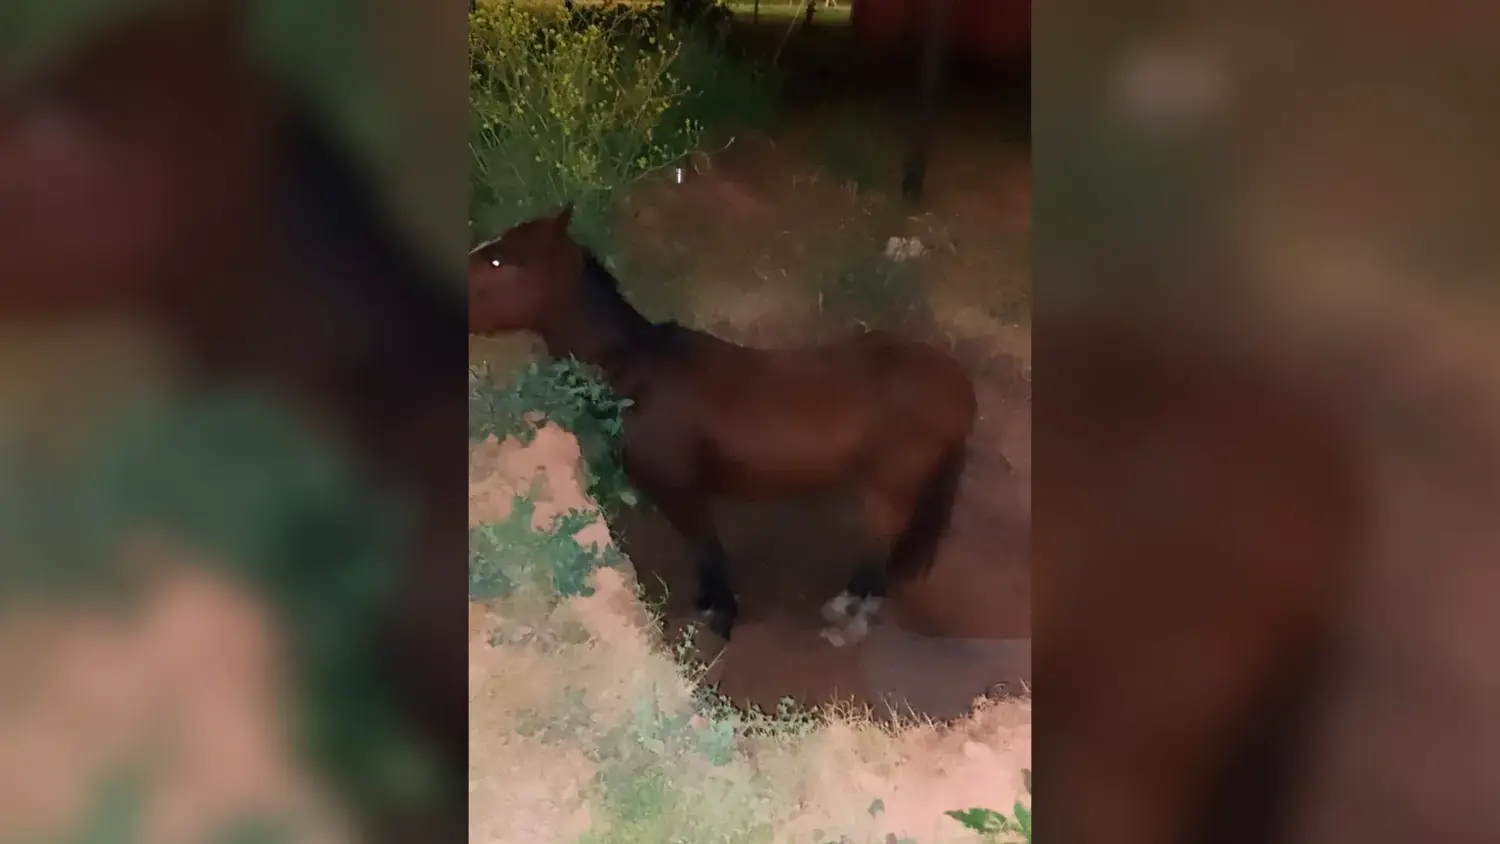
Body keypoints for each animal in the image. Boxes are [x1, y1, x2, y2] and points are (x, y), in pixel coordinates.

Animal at [468, 205, 978, 642]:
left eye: (498, 260)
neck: (635, 367)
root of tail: (957, 382)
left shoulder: (681, 492)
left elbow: (708, 550)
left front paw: (720, 613)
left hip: (890, 489)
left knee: (878, 549)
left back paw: (849, 611)